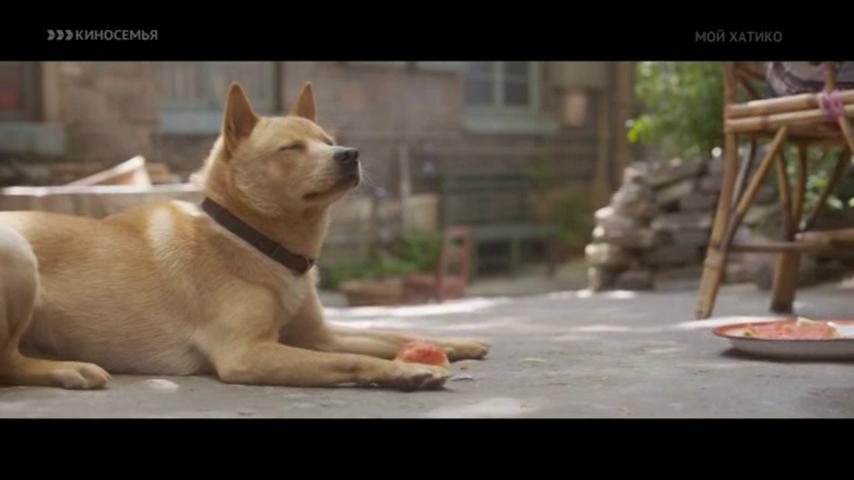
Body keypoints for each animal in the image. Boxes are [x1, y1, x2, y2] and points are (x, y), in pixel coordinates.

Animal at [0, 82, 489, 391]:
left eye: (328, 140)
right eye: (291, 149)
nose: (350, 154)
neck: (256, 243)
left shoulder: (319, 335)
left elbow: (392, 332)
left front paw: (456, 344)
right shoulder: (249, 353)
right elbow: (360, 357)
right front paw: (408, 374)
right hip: (19, 254)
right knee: (7, 363)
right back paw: (72, 371)